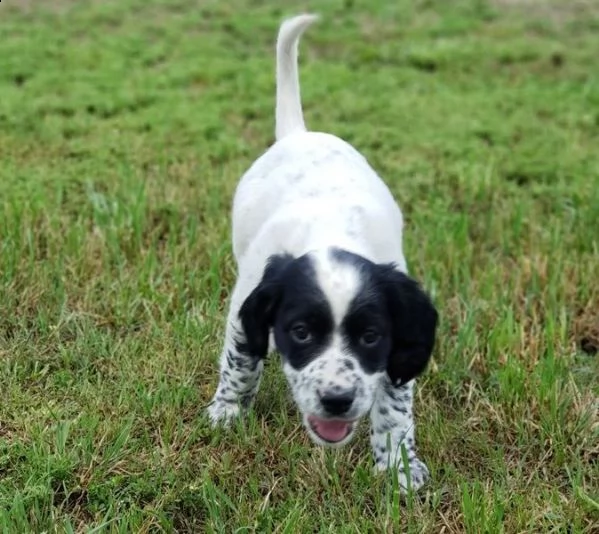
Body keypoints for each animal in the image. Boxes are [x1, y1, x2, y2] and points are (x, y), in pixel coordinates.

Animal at [209, 13, 438, 494]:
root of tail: (299, 134)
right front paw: (228, 411)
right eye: (300, 332)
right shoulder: (245, 305)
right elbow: (241, 363)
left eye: (370, 337)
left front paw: (399, 467)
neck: (331, 231)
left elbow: (395, 406)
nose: (337, 400)